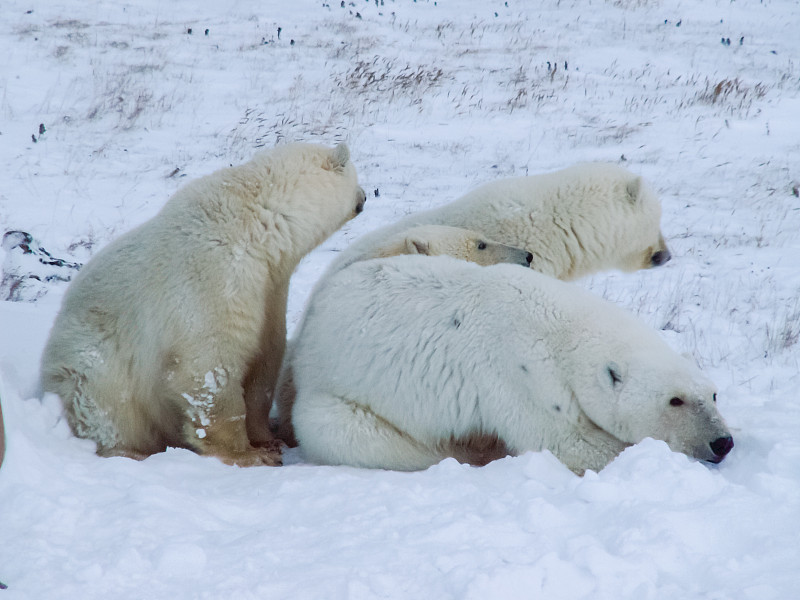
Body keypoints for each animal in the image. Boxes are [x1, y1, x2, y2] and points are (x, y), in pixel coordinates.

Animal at [42, 143, 368, 466]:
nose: (365, 195)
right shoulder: (211, 277)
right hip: (92, 368)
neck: (254, 224)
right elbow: (209, 366)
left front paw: (268, 439)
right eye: (355, 175)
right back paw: (129, 452)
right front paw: (250, 454)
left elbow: (263, 361)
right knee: (107, 411)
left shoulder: (270, 290)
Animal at [290, 255, 736, 476]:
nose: (722, 442)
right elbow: (565, 441)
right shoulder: (521, 373)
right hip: (333, 396)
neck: (560, 326)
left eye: (713, 394)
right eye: (674, 401)